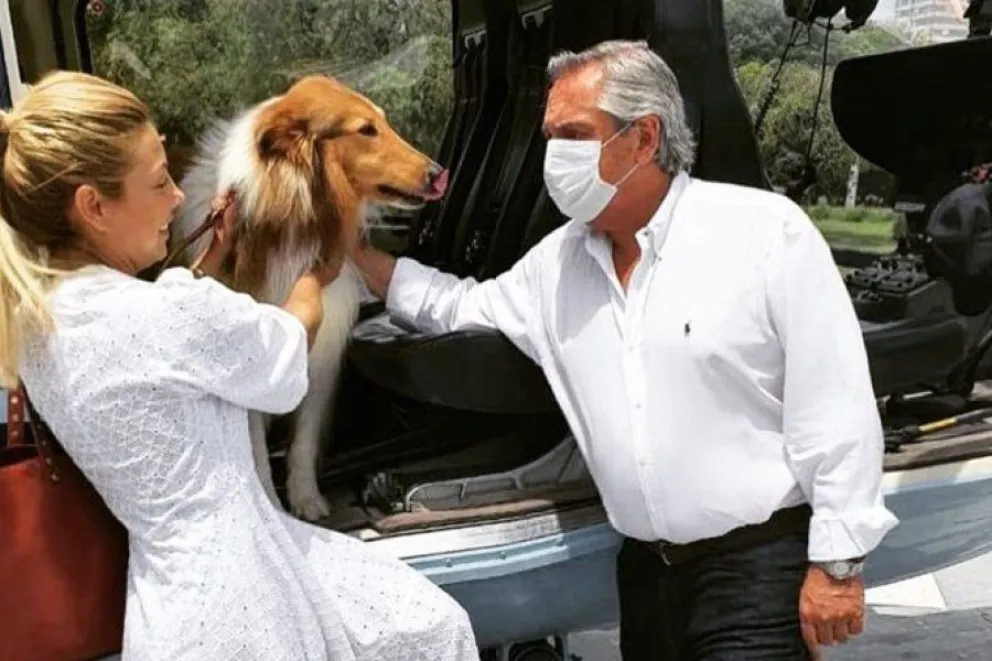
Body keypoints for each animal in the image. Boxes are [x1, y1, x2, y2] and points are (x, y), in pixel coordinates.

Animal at [171, 75, 448, 520]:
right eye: (365, 129)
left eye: (383, 121)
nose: (438, 172)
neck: (298, 218)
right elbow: (256, 449)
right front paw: (272, 505)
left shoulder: (320, 357)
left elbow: (303, 438)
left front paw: (306, 499)